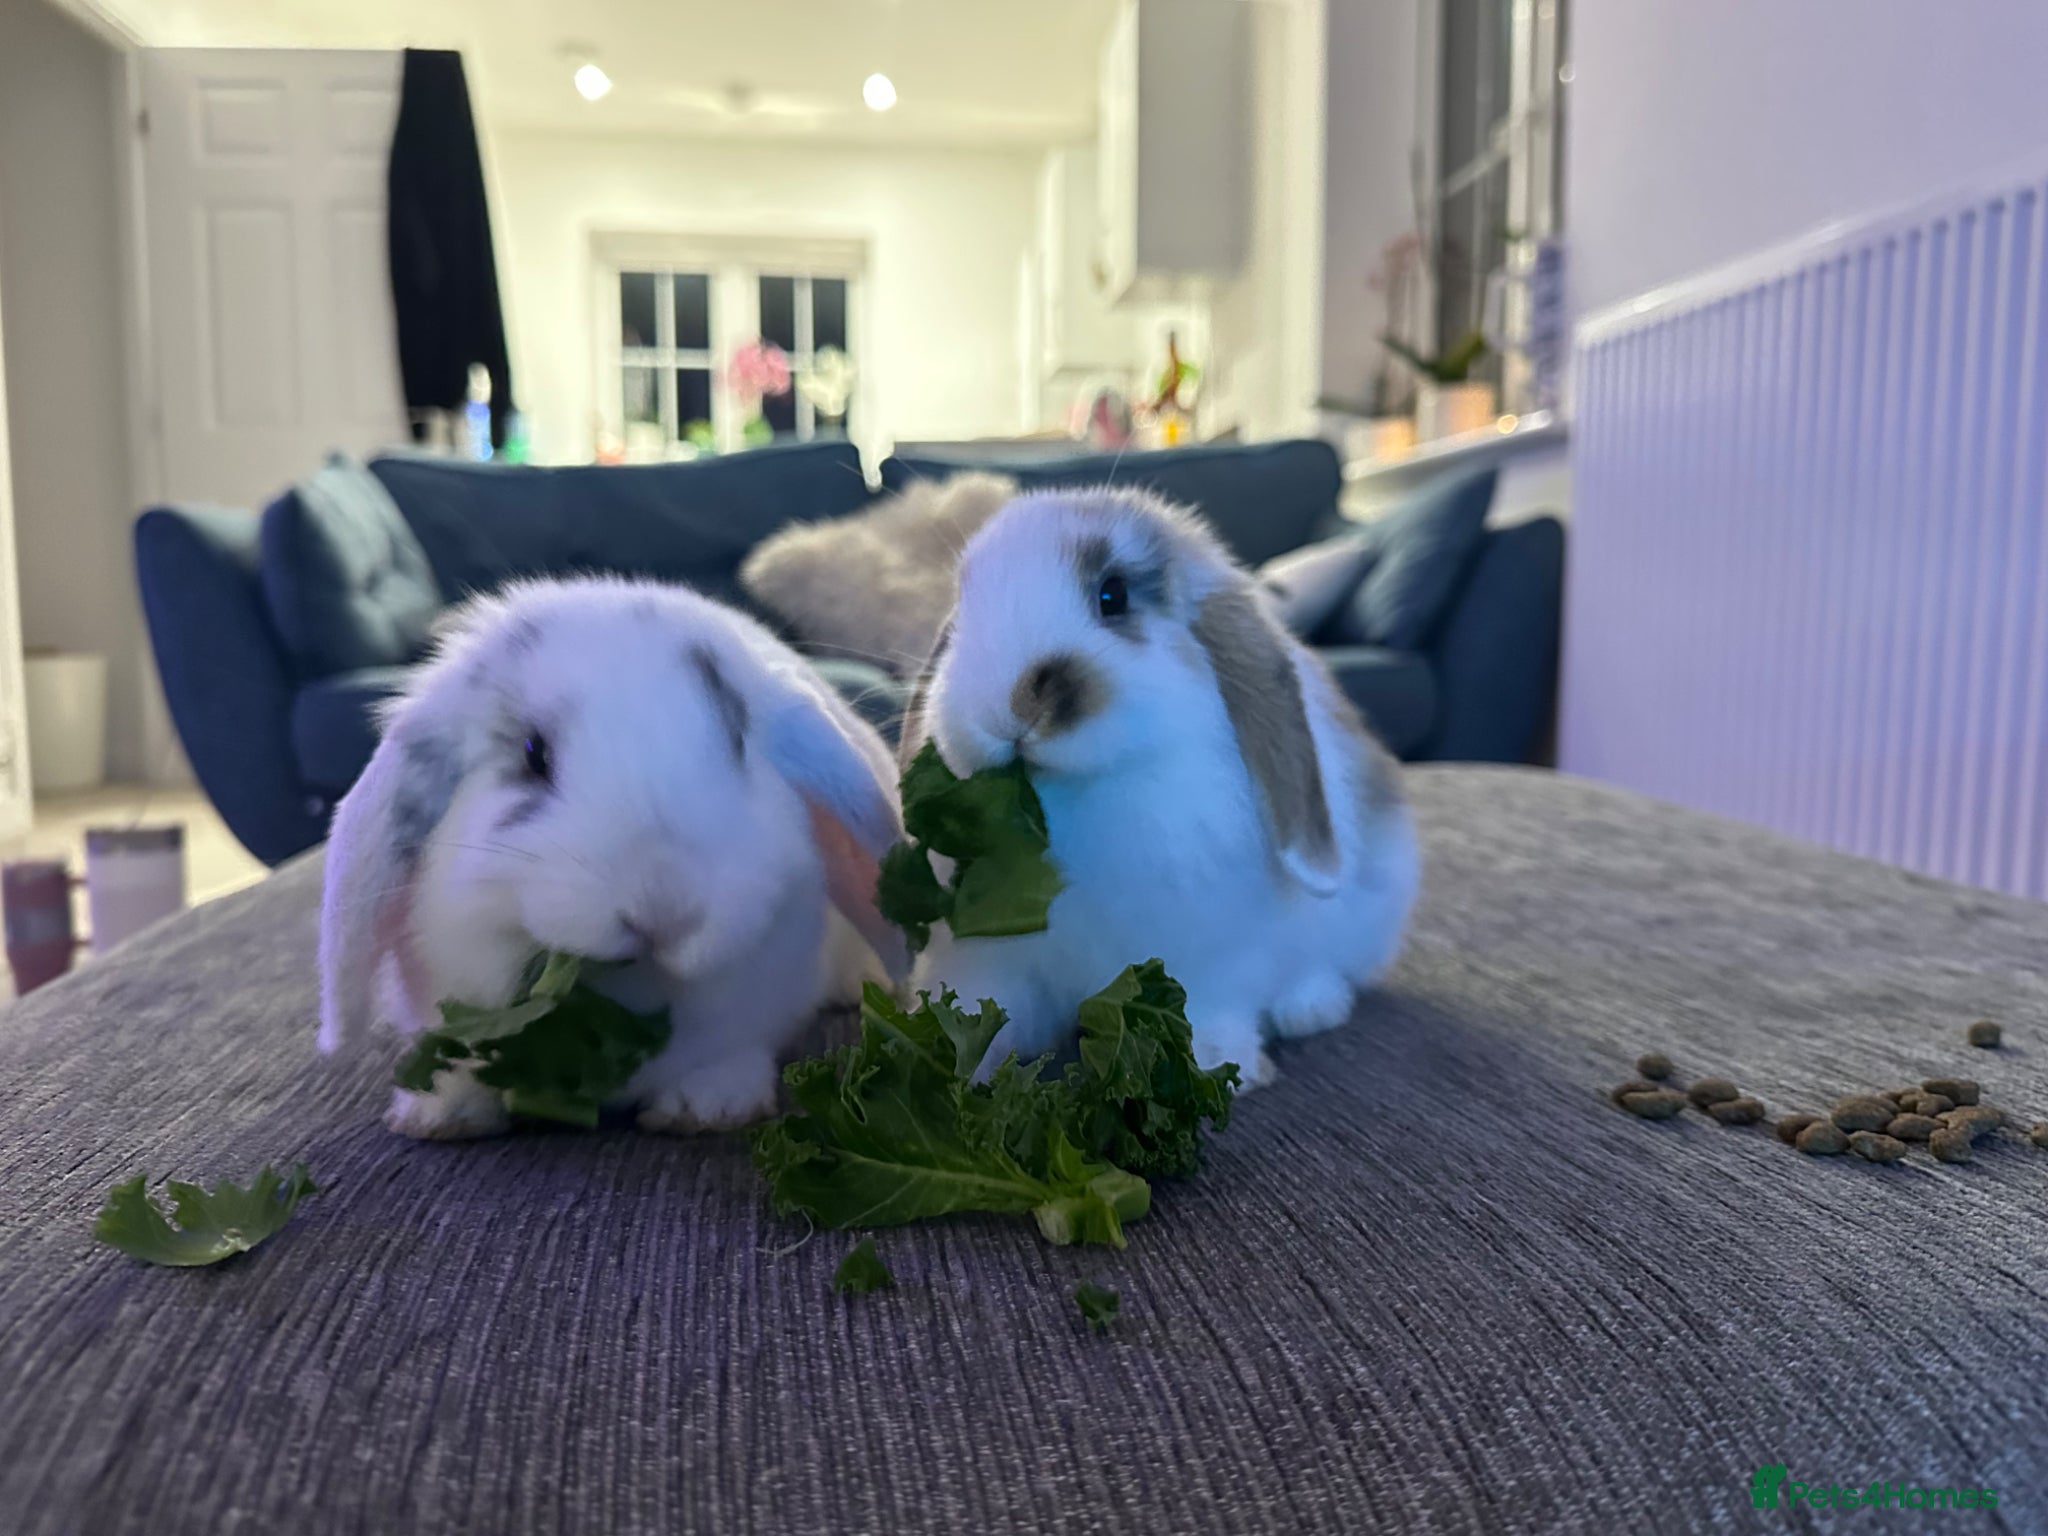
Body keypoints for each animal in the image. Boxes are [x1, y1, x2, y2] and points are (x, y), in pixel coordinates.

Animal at [317, 575, 908, 1141]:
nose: (663, 911)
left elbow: (725, 1058)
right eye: (533, 753)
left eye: (739, 740)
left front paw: (706, 1110)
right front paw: (440, 1117)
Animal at [901, 486, 1419, 1088]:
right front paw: (939, 1061)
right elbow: (978, 1011)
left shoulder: (1213, 956)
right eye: (961, 609)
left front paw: (1221, 1063)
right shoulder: (986, 963)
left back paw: (1310, 1008)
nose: (1008, 707)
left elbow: (1210, 1006)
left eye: (1113, 595)